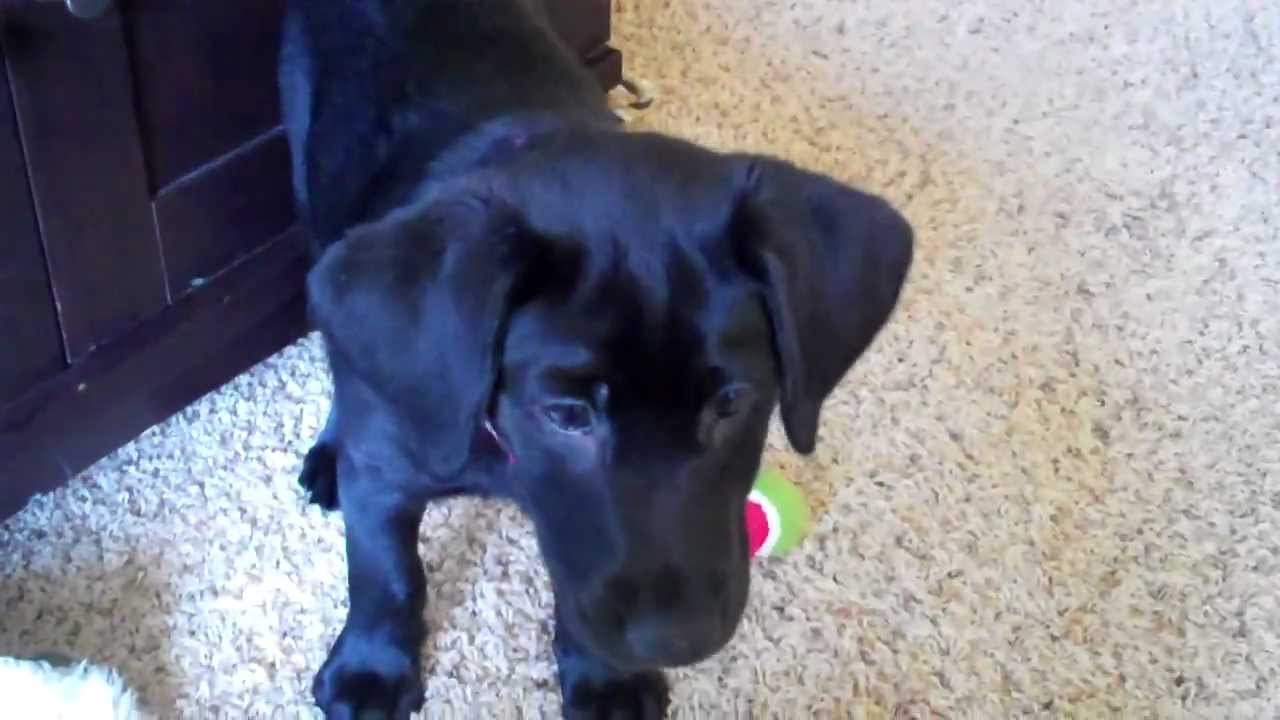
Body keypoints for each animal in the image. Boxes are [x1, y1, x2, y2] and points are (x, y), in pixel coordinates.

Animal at [282, 2, 911, 712]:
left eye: (730, 404)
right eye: (566, 414)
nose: (678, 640)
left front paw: (607, 679)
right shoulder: (386, 468)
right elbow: (385, 572)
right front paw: (371, 669)